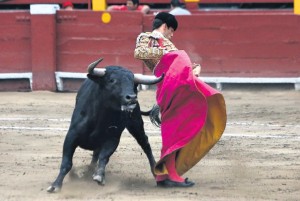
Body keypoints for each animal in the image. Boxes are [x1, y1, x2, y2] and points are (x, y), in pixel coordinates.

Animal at [47, 57, 163, 192]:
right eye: (112, 80)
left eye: (133, 83)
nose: (132, 98)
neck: (100, 116)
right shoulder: (72, 135)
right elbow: (66, 162)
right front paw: (55, 185)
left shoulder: (112, 139)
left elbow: (104, 157)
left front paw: (99, 176)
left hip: (136, 125)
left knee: (145, 144)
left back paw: (156, 172)